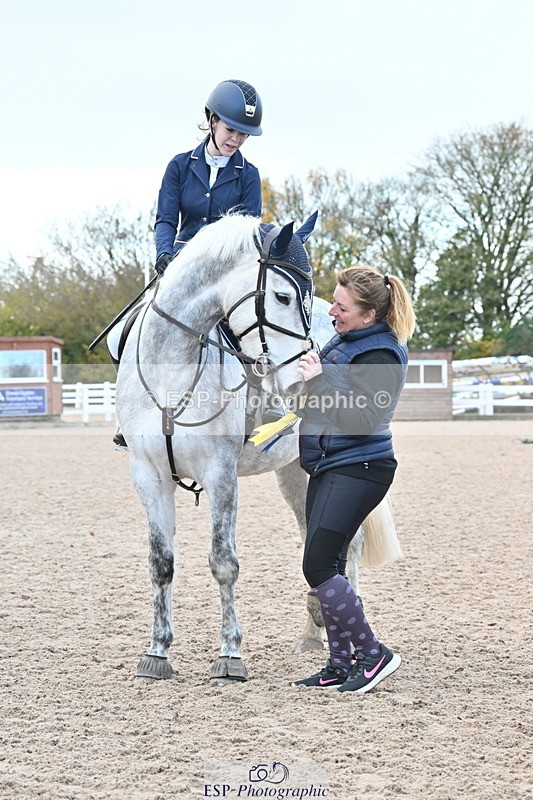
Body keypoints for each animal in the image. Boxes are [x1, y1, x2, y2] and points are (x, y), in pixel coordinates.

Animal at [115, 213, 401, 685]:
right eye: (283, 296)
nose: (301, 379)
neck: (172, 367)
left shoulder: (220, 473)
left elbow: (223, 562)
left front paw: (230, 655)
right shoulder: (148, 474)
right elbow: (161, 563)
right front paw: (157, 652)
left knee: (349, 545)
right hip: (296, 473)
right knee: (315, 542)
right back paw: (313, 634)